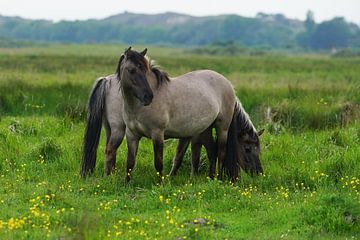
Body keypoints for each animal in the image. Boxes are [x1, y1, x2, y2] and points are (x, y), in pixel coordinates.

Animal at [116, 47, 262, 182]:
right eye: (132, 70)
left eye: (145, 71)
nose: (148, 97)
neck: (137, 108)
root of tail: (228, 84)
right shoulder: (132, 135)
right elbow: (130, 163)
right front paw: (127, 184)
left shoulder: (157, 134)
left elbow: (158, 163)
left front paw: (160, 184)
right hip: (206, 129)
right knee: (212, 151)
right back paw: (211, 177)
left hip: (222, 128)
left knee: (221, 153)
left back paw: (219, 179)